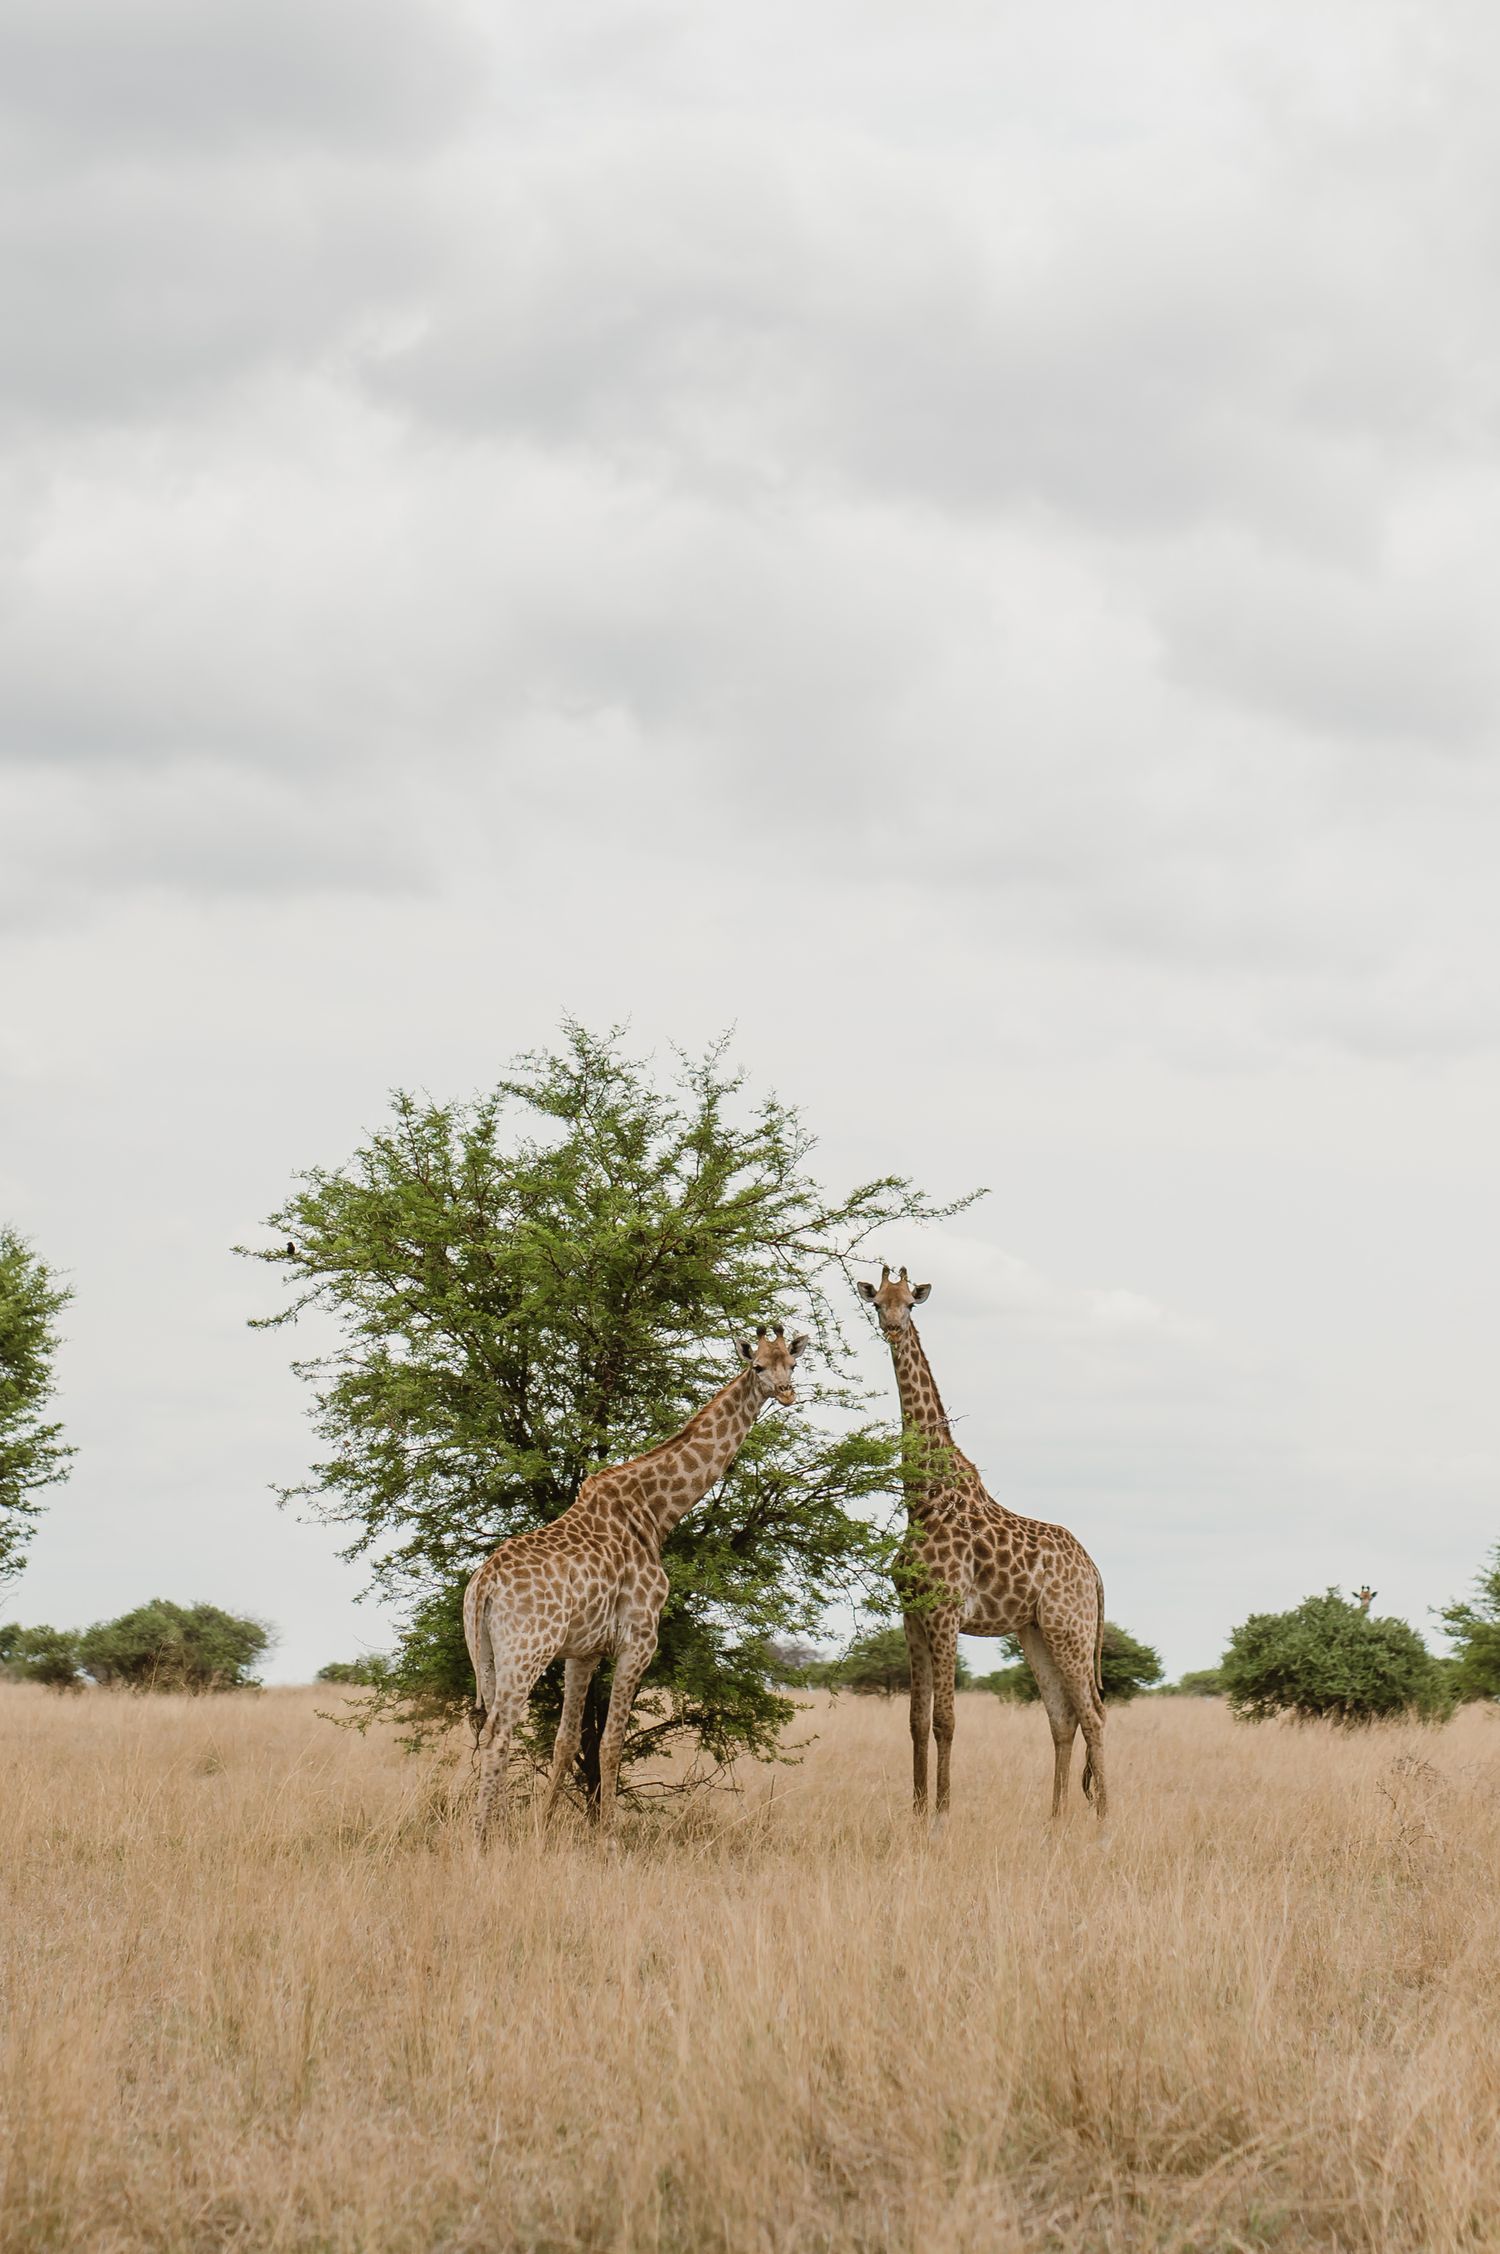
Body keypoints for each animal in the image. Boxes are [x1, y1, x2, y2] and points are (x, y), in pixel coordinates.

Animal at [463, 1324, 808, 1841]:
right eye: (757, 1365)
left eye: (793, 1361)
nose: (786, 1393)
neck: (654, 1511)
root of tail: (482, 1584)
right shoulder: (639, 1639)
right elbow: (611, 1742)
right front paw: (607, 1837)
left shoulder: (583, 1651)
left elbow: (567, 1740)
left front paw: (543, 1830)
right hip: (527, 1651)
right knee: (500, 1731)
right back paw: (482, 1837)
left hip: (486, 1652)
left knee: (487, 1727)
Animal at [858, 1265, 1108, 1824]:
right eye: (876, 1301)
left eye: (910, 1302)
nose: (891, 1328)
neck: (923, 1498)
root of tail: (1095, 1572)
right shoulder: (911, 1614)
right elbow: (914, 1720)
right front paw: (916, 1813)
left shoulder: (946, 1612)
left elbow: (945, 1720)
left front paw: (942, 1817)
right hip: (1036, 1632)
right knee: (1062, 1718)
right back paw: (1055, 1821)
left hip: (1071, 1629)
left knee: (1095, 1715)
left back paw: (1106, 1821)